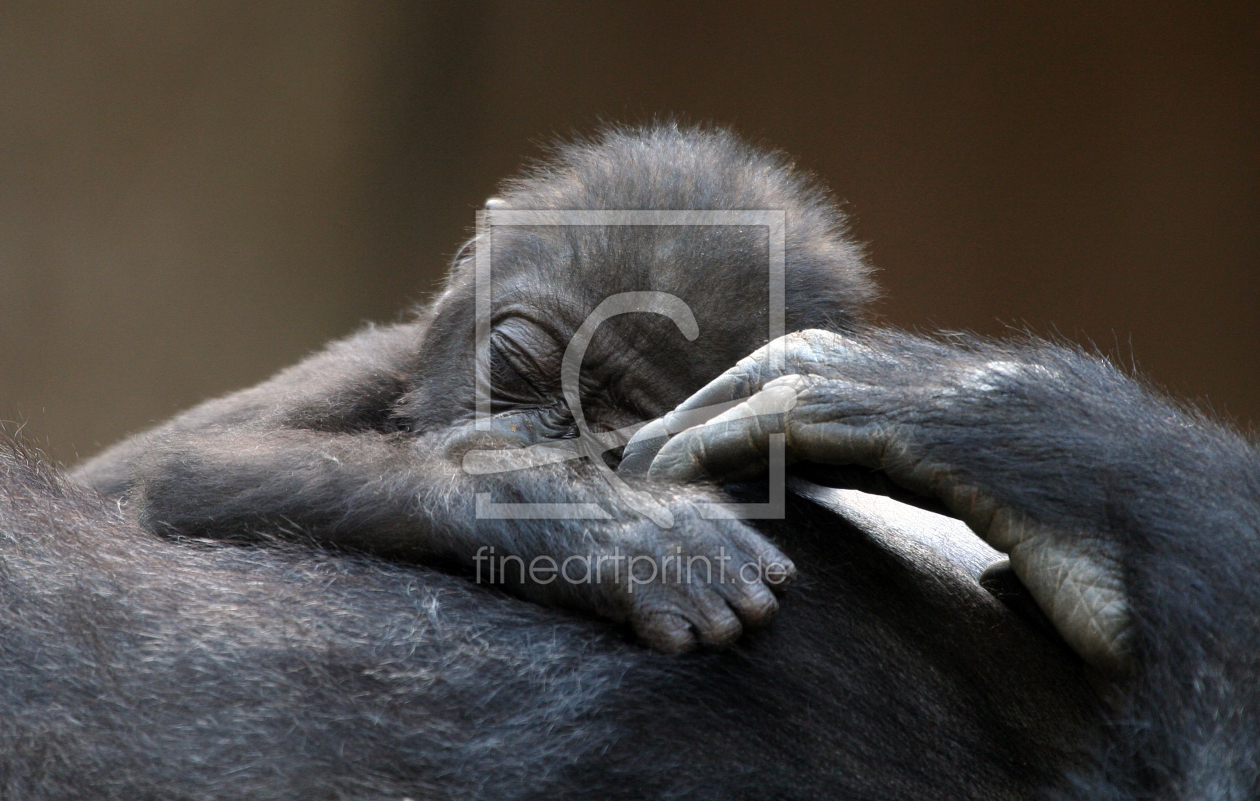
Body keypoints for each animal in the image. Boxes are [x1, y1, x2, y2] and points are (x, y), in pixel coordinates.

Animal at [71, 123, 876, 649]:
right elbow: (193, 468)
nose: (543, 433)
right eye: (519, 364)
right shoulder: (365, 364)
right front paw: (595, 519)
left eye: (619, 433)